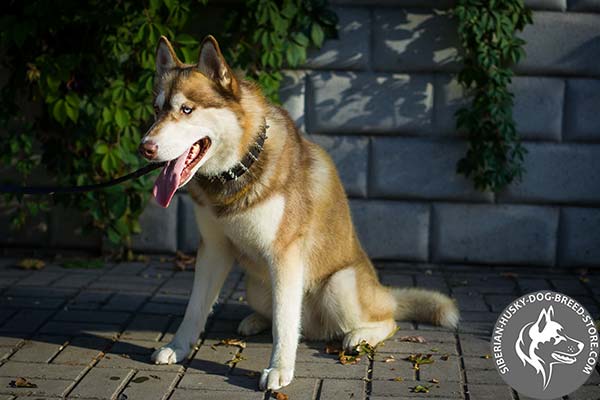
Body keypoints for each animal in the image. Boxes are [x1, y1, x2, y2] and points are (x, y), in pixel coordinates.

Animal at [141, 35, 460, 390]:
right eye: (156, 109)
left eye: (187, 109)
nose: (145, 147)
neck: (238, 169)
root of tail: (382, 291)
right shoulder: (214, 248)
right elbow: (195, 308)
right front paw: (178, 346)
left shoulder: (284, 254)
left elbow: (284, 322)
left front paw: (279, 368)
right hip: (257, 286)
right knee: (284, 317)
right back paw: (255, 320)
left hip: (339, 285)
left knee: (386, 321)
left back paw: (360, 335)